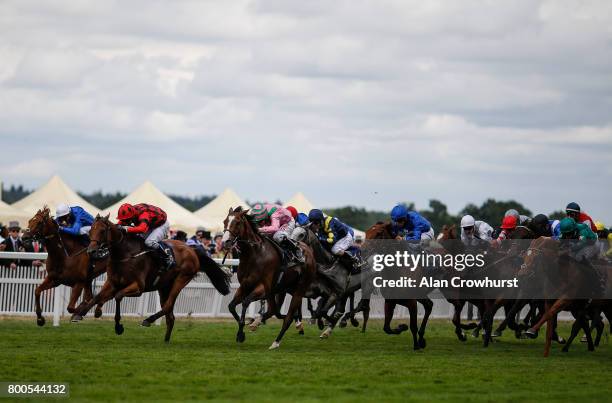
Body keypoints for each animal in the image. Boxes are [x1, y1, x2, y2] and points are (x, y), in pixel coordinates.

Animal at [73, 216, 232, 342]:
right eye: (90, 231)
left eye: (102, 231)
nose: (91, 251)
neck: (125, 254)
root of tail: (192, 250)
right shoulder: (112, 283)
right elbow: (96, 297)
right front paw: (79, 314)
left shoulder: (138, 287)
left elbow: (118, 296)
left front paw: (118, 326)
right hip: (164, 287)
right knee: (170, 315)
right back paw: (166, 340)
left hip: (181, 279)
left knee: (167, 307)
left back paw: (148, 320)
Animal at [222, 208, 316, 350]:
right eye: (225, 221)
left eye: (237, 222)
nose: (225, 242)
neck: (254, 254)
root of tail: (308, 250)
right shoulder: (244, 286)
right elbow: (231, 306)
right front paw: (241, 333)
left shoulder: (263, 287)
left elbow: (245, 302)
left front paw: (241, 333)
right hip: (281, 290)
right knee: (274, 311)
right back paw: (259, 323)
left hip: (298, 290)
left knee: (287, 318)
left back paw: (276, 342)